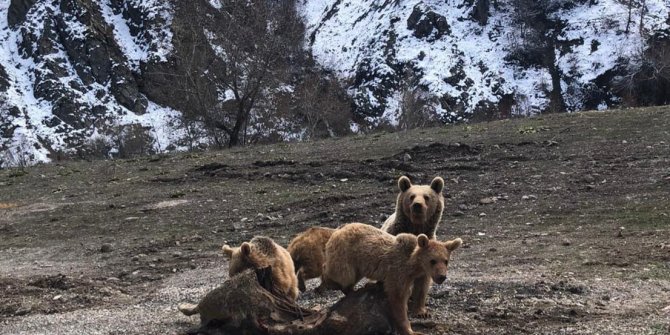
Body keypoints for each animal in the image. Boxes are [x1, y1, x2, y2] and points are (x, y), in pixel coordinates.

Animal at [322, 223, 464, 335]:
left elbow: (421, 289)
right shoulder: (398, 271)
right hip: (347, 255)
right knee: (343, 273)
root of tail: (340, 228)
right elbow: (398, 297)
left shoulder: (422, 274)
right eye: (433, 260)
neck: (414, 265)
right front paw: (410, 330)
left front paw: (422, 312)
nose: (442, 277)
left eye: (446, 261)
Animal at [384, 176, 446, 318]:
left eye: (426, 197)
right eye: (411, 196)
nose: (417, 205)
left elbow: (422, 283)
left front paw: (421, 311)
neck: (416, 228)